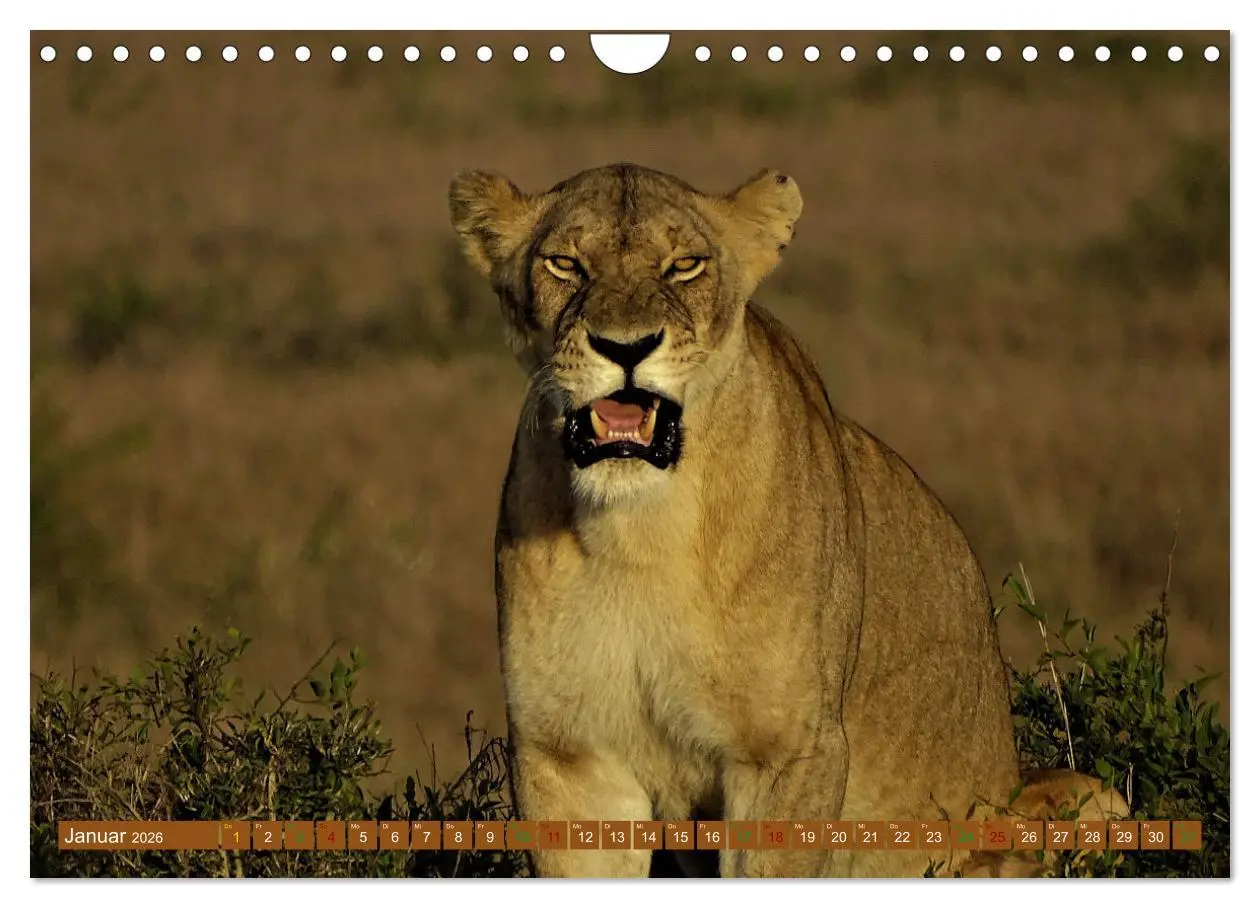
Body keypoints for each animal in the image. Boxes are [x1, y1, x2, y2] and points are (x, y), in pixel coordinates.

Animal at [449, 162, 1022, 877]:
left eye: (685, 266)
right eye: (565, 264)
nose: (625, 347)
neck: (641, 532)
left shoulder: (788, 751)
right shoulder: (568, 756)